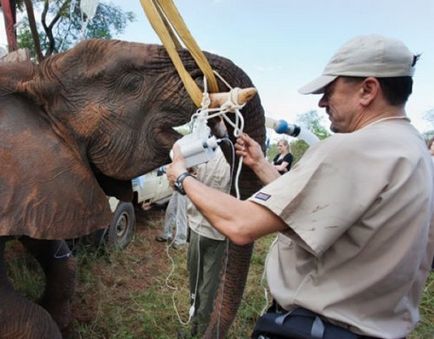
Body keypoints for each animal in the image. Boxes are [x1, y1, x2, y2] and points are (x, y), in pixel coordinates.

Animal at [0, 39, 266, 338]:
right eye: (132, 84)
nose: (222, 133)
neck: (34, 77)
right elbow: (32, 318)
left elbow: (61, 260)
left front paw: (61, 320)